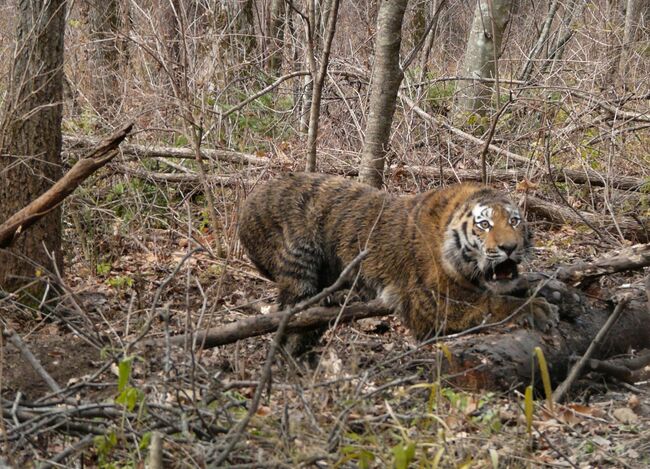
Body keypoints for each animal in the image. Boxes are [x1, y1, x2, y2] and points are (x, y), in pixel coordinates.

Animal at [238, 173, 556, 354]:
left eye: (514, 221)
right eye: (485, 224)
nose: (509, 248)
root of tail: (249, 200)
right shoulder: (432, 305)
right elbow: (491, 303)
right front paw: (535, 309)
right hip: (299, 264)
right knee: (291, 322)